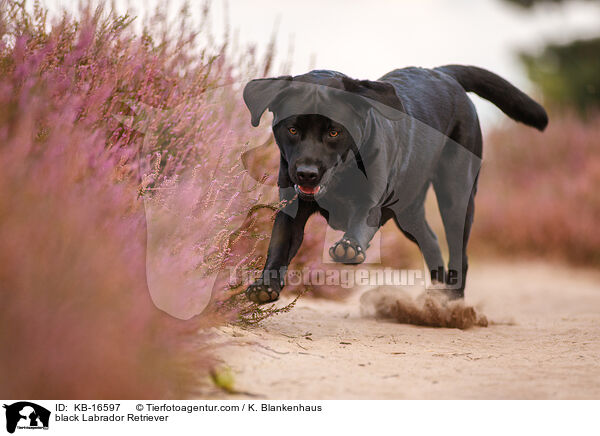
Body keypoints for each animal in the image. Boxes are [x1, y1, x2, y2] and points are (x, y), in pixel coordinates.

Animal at [241, 65, 548, 304]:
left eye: (334, 132)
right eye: (292, 129)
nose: (307, 173)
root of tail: (442, 73)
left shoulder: (370, 204)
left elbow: (359, 226)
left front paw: (348, 247)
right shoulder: (291, 209)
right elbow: (278, 246)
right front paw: (265, 286)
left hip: (456, 197)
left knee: (458, 252)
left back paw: (452, 301)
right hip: (408, 214)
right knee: (431, 241)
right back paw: (435, 297)